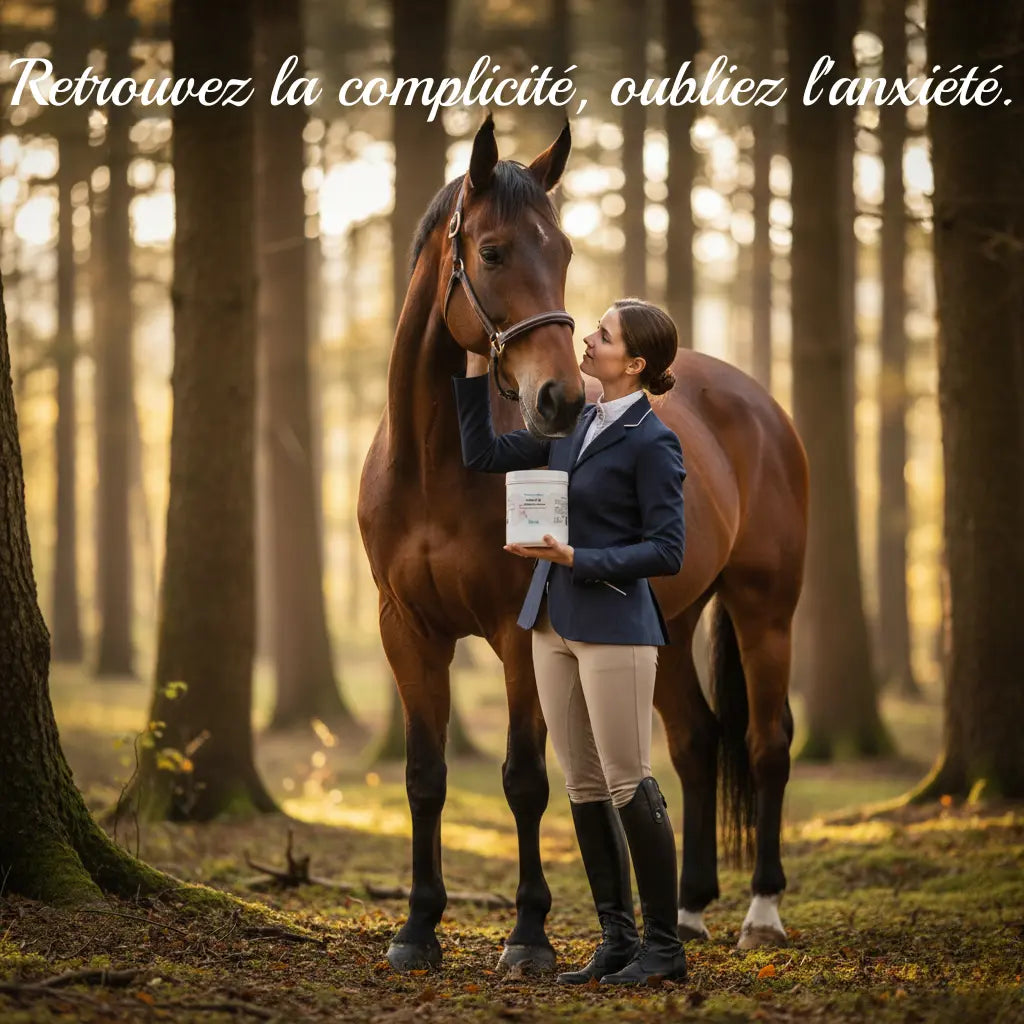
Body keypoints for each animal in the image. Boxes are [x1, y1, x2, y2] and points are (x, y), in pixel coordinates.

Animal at [358, 115, 809, 973]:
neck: (434, 463)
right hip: (669, 623)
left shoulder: (517, 634)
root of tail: (758, 404)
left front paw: (528, 938)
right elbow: (425, 776)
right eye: (493, 251)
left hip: (765, 611)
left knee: (767, 743)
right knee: (695, 741)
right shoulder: (407, 630)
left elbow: (526, 779)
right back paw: (688, 911)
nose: (559, 399)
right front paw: (417, 929)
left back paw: (761, 912)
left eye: (564, 252)